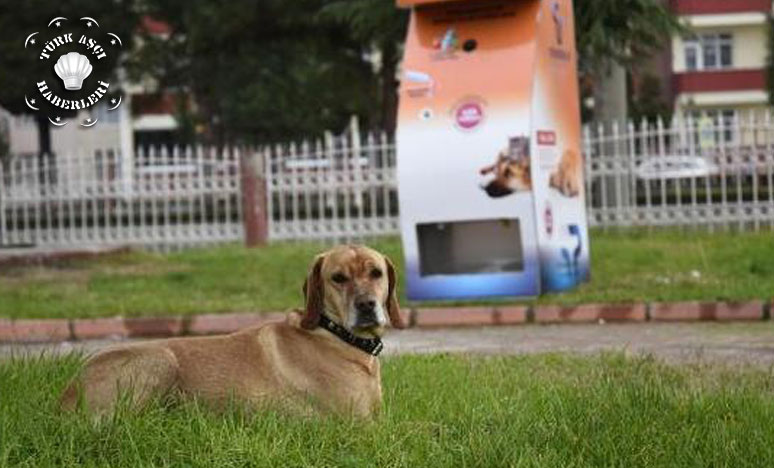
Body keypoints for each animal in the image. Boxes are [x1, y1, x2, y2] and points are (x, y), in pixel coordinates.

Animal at [60, 247, 406, 418]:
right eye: (338, 278)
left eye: (376, 273)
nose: (367, 305)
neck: (333, 332)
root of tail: (68, 393)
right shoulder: (359, 426)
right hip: (161, 358)